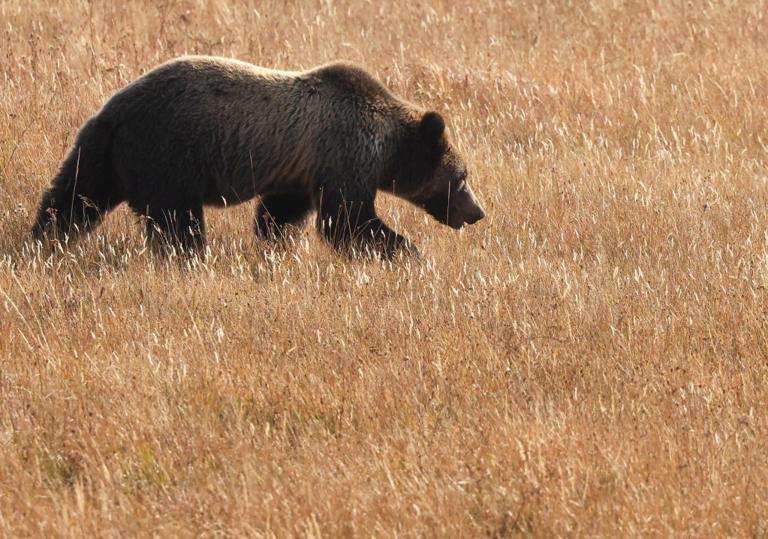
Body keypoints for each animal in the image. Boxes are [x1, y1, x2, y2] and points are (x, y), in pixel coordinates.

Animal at [31, 56, 485, 258]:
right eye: (462, 178)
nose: (477, 212)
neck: (385, 148)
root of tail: (115, 111)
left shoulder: (300, 169)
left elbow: (279, 212)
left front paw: (274, 243)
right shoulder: (344, 152)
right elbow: (347, 219)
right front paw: (408, 251)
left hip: (104, 153)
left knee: (73, 196)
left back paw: (44, 238)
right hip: (168, 151)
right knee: (176, 217)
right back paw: (190, 255)